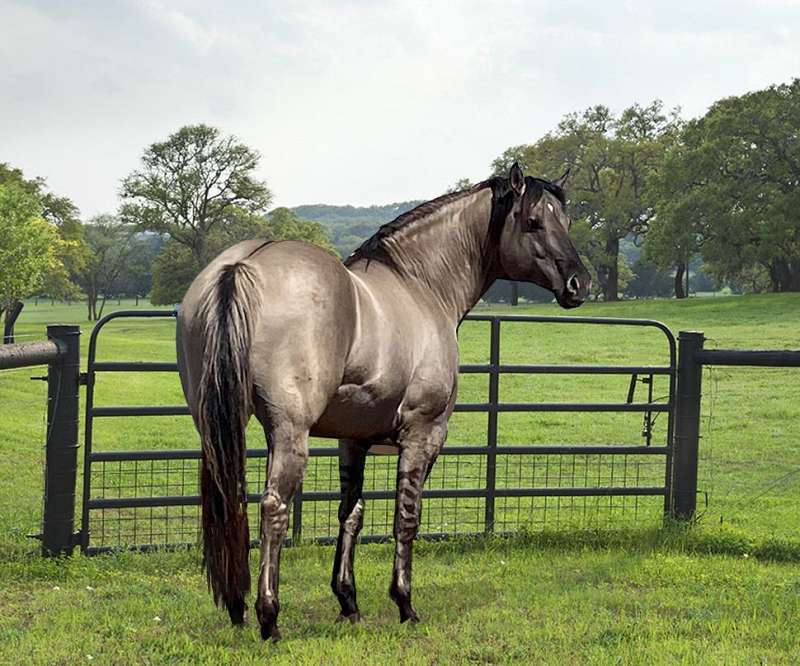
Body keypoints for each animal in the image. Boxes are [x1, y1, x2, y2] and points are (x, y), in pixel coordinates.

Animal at [176, 162, 591, 640]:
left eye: (566, 221)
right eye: (534, 221)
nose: (580, 283)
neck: (420, 286)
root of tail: (241, 265)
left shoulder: (352, 440)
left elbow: (350, 514)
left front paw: (348, 602)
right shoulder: (423, 435)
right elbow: (406, 518)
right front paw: (405, 603)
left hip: (214, 427)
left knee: (227, 502)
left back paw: (237, 609)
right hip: (288, 432)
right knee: (273, 508)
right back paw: (269, 618)